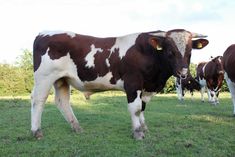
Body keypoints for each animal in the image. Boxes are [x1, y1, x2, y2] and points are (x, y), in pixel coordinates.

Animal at [30, 29, 207, 140]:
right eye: (170, 50)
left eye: (190, 51)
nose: (183, 72)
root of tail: (43, 33)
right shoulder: (133, 83)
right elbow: (135, 108)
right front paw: (137, 133)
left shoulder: (145, 87)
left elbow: (142, 107)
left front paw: (143, 128)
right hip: (44, 77)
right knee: (38, 100)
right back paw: (36, 131)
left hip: (62, 79)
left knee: (62, 102)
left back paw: (76, 127)